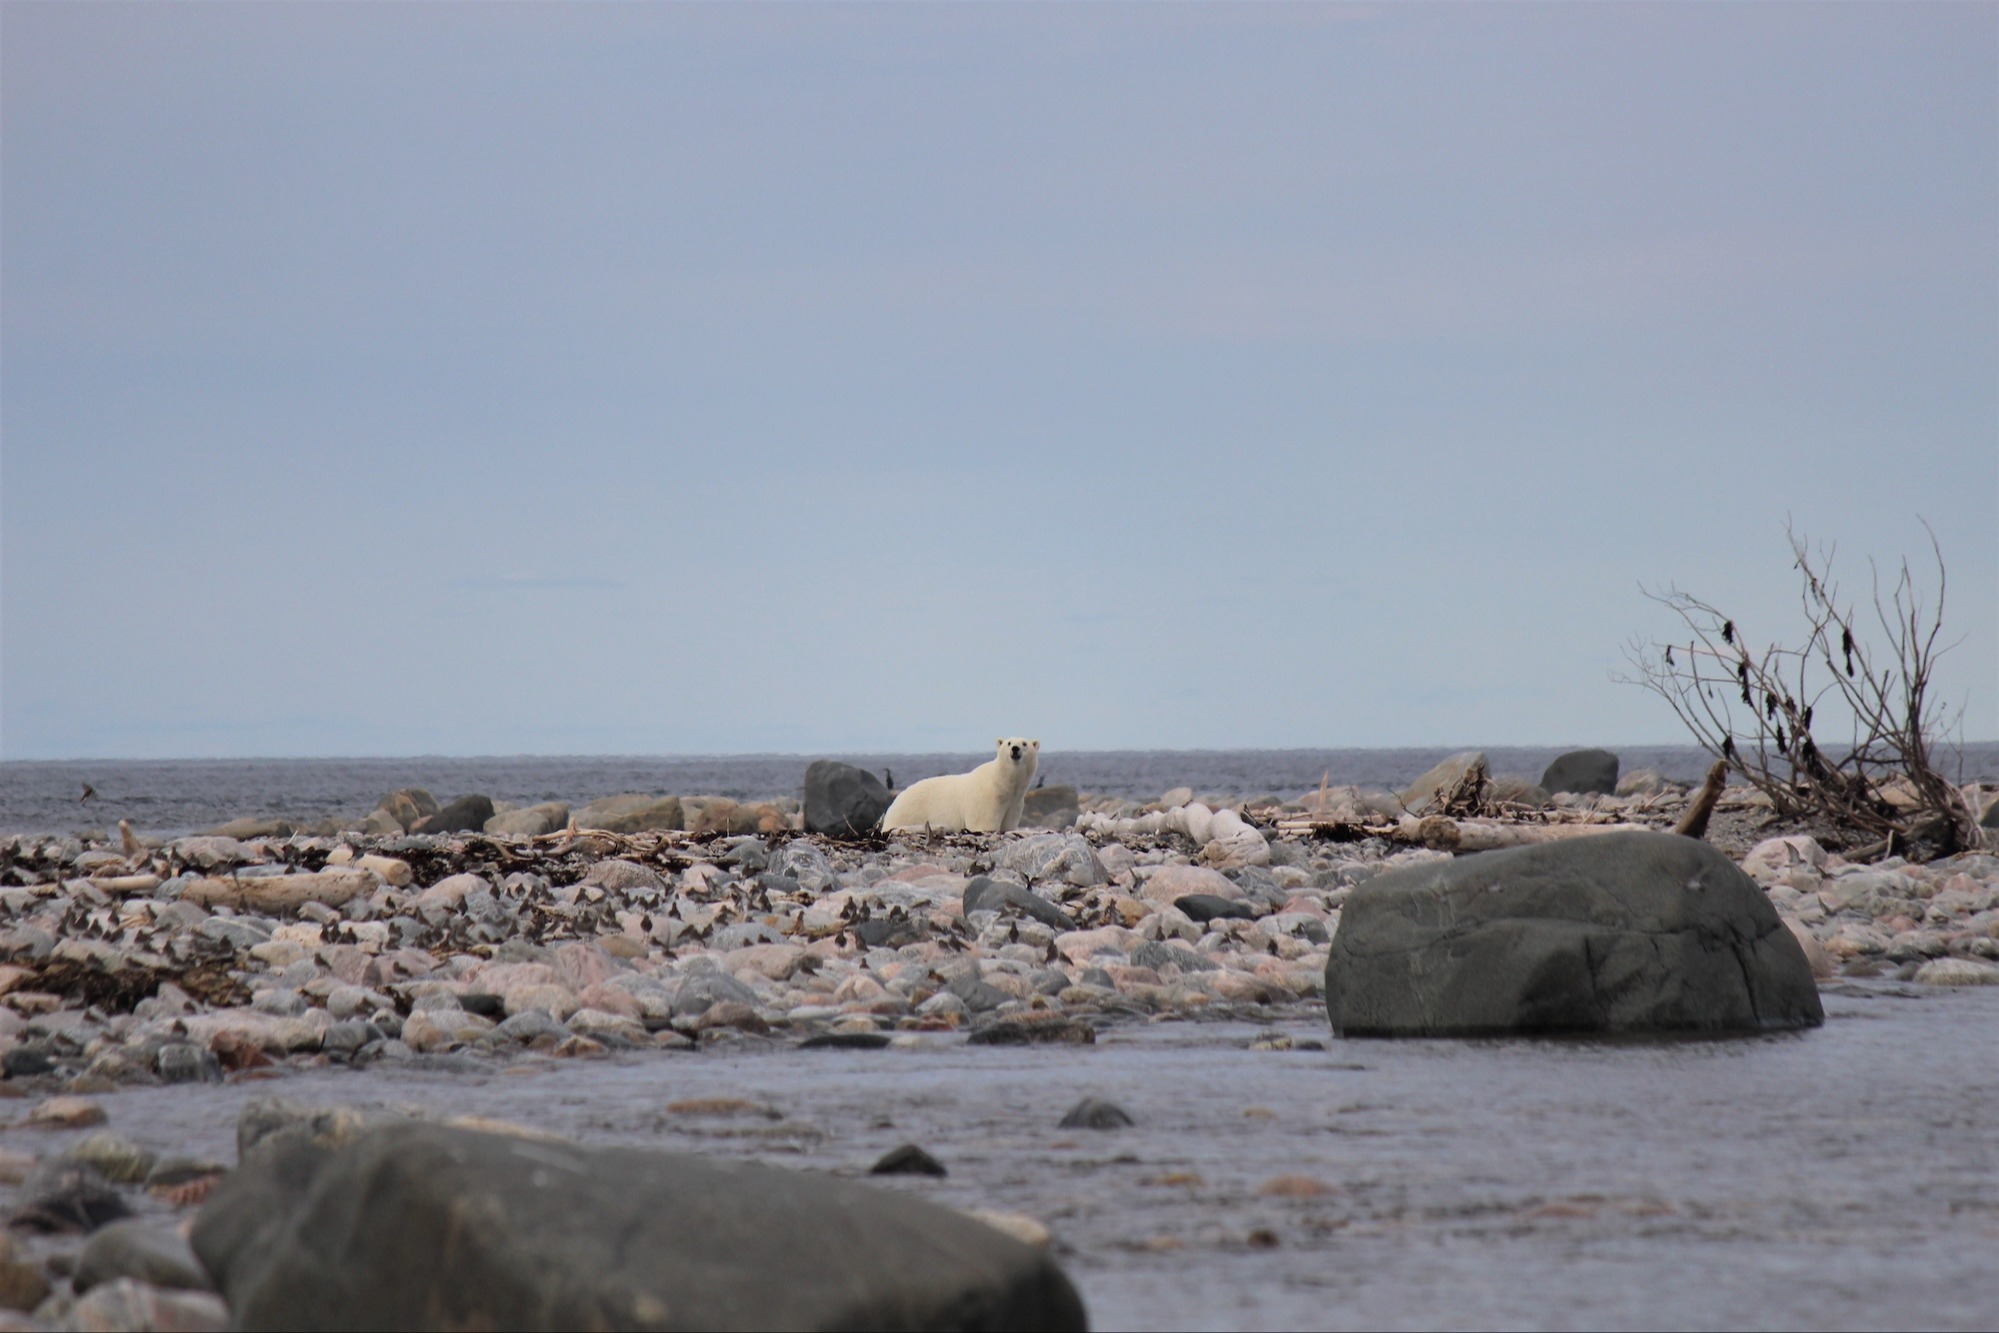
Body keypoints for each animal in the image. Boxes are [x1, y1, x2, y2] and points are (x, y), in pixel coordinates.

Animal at [881, 739, 1041, 834]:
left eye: (1025, 743)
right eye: (1008, 742)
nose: (1015, 749)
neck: (1001, 783)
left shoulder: (1014, 801)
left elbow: (1009, 823)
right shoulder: (985, 799)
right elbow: (982, 824)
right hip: (907, 814)